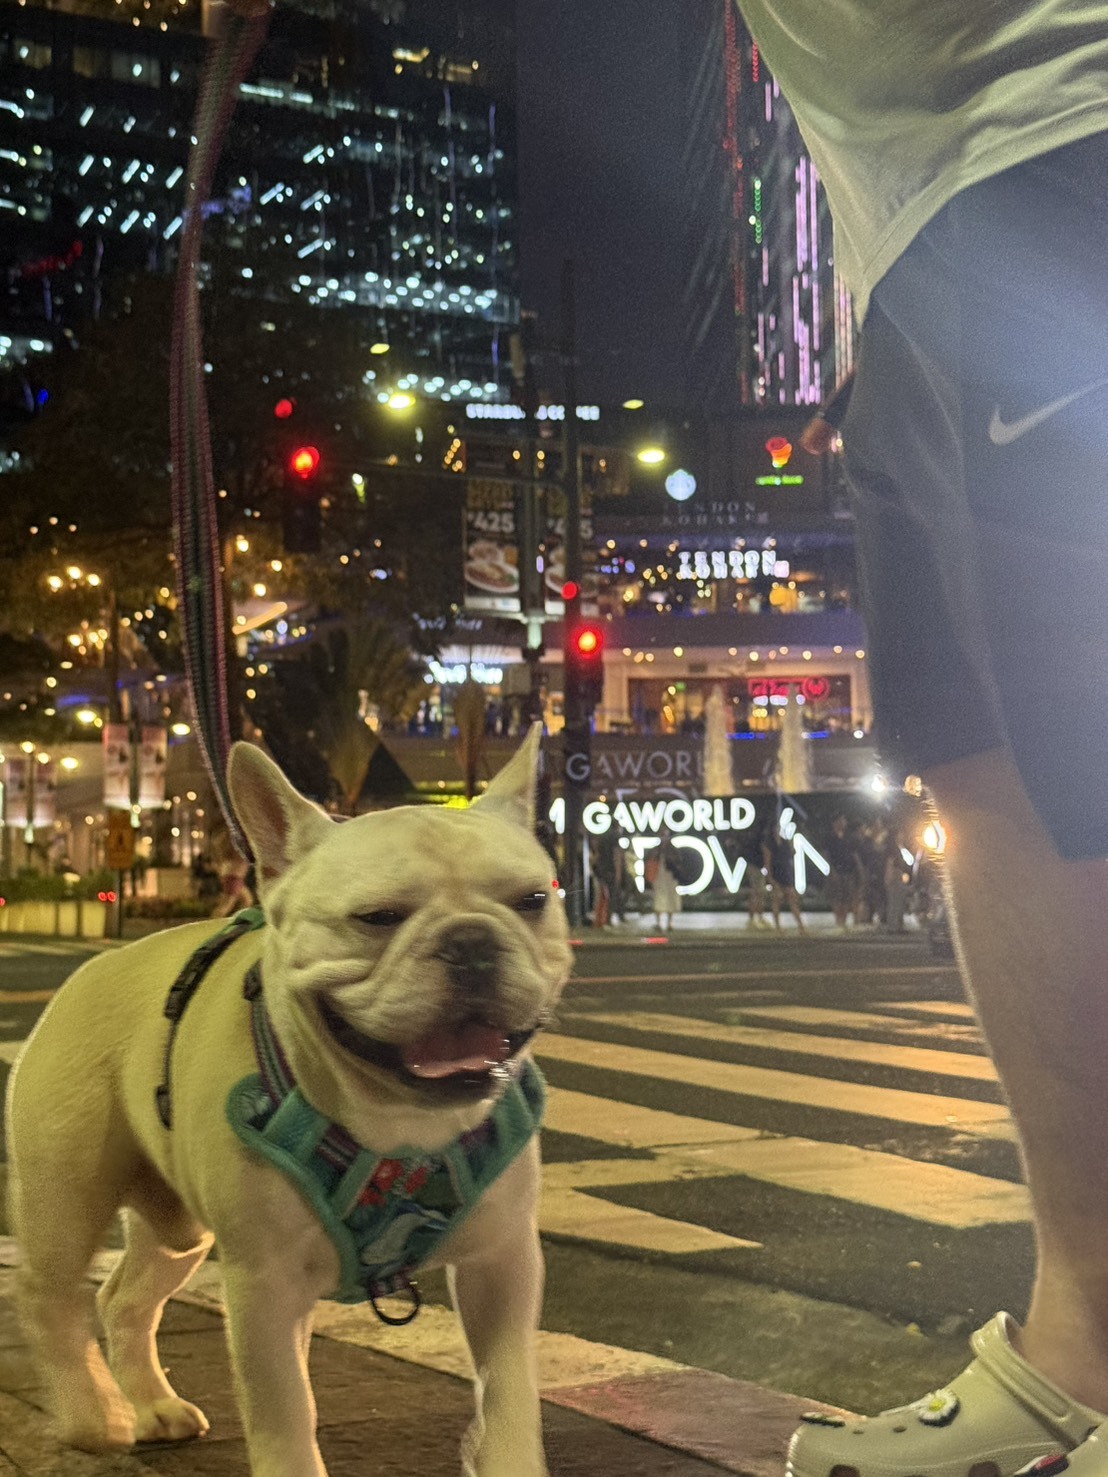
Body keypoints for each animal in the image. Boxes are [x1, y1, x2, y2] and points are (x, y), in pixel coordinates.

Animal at [5, 726, 573, 1477]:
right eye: (377, 917)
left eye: (532, 900)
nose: (472, 940)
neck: (400, 1124)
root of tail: (92, 965)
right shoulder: (263, 1285)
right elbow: (284, 1413)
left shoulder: (503, 1264)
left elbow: (507, 1390)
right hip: (66, 1195)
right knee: (49, 1295)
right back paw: (91, 1415)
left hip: (178, 1225)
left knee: (124, 1294)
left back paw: (153, 1405)